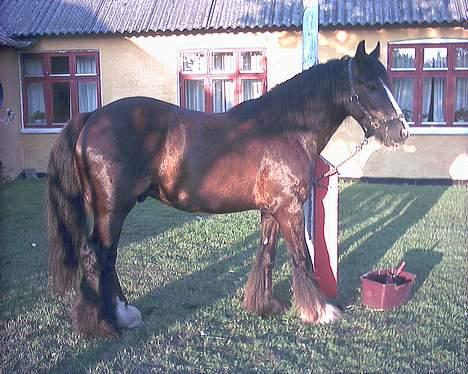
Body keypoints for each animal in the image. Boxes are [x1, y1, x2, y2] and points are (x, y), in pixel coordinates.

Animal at [45, 40, 408, 336]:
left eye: (389, 82)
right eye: (370, 85)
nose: (401, 131)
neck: (286, 128)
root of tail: (92, 117)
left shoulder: (272, 210)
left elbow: (267, 253)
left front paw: (263, 305)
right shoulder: (290, 209)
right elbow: (301, 258)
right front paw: (320, 312)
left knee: (108, 260)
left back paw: (123, 315)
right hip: (112, 211)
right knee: (98, 257)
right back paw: (104, 325)